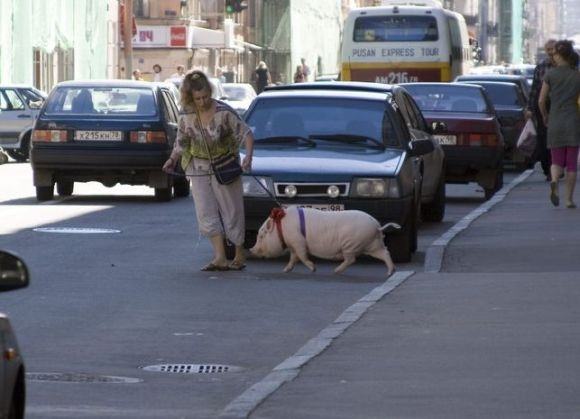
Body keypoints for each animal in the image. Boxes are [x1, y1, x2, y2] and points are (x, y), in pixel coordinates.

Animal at [249, 206, 398, 278]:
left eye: (261, 235)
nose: (251, 249)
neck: (282, 226)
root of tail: (377, 226)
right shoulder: (293, 245)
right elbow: (293, 258)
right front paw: (285, 270)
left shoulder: (298, 241)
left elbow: (302, 256)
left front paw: (313, 269)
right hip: (373, 244)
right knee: (385, 253)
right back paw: (390, 273)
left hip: (351, 245)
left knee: (351, 259)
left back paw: (335, 271)